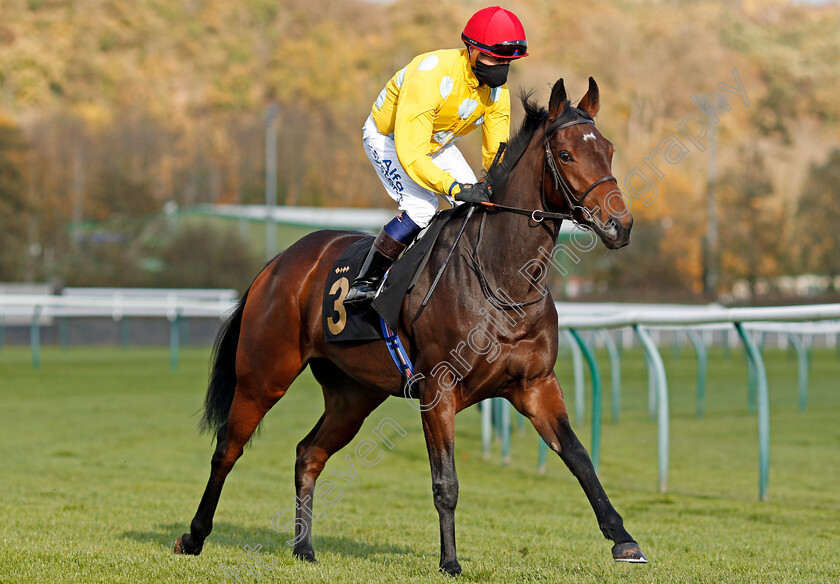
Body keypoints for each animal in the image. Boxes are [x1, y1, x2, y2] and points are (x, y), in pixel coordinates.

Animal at [174, 77, 648, 576]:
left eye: (609, 150)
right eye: (567, 154)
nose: (619, 224)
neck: (502, 279)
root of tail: (279, 261)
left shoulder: (535, 384)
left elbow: (579, 457)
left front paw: (624, 540)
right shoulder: (437, 390)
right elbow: (446, 482)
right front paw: (450, 562)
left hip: (353, 395)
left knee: (308, 453)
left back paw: (303, 547)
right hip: (264, 375)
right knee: (227, 448)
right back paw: (194, 535)